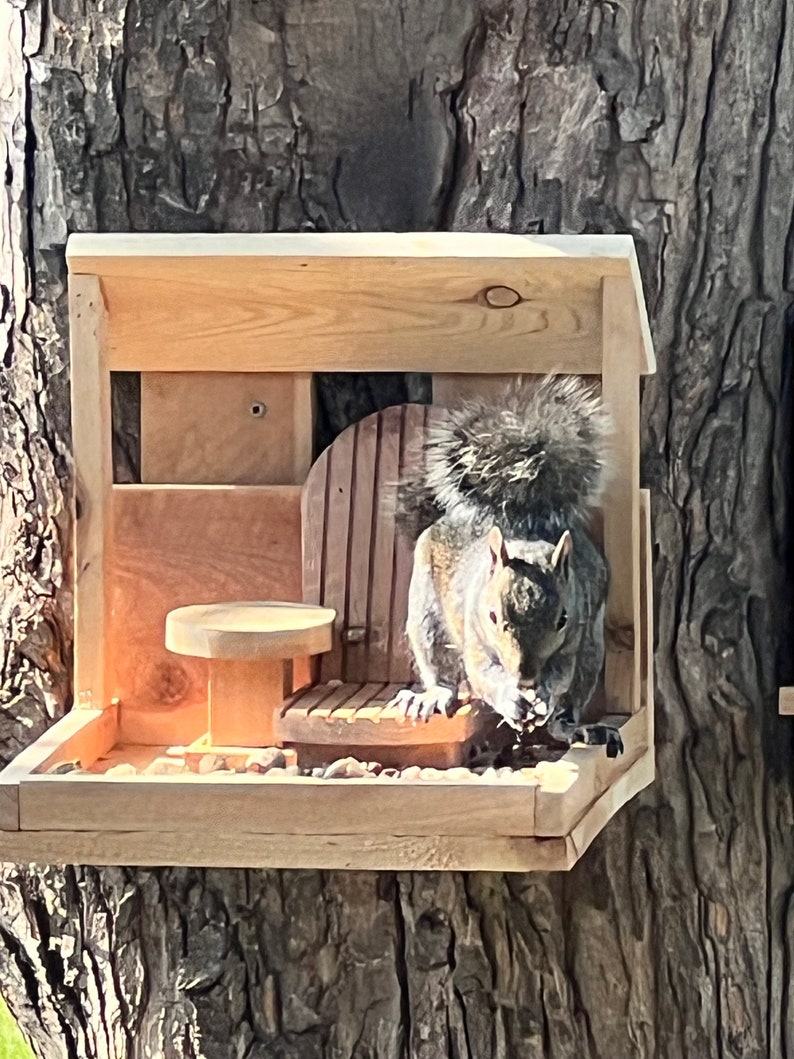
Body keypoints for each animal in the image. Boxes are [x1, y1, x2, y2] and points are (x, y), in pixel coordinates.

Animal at [392, 374, 623, 758]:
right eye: (492, 616)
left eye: (562, 619)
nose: (525, 677)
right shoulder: (475, 639)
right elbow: (484, 675)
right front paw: (510, 698)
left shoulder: (575, 635)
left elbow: (560, 673)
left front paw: (543, 695)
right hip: (426, 618)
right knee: (440, 668)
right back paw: (433, 695)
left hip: (591, 650)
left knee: (568, 706)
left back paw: (574, 727)